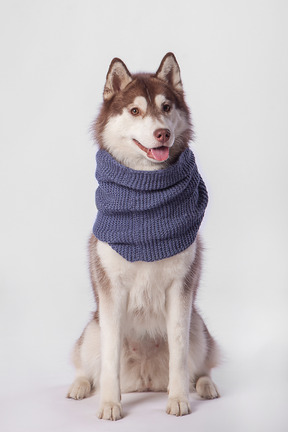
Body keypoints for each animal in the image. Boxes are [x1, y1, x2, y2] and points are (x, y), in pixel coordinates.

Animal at [67, 52, 220, 420]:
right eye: (135, 111)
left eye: (166, 107)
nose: (162, 133)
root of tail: (147, 381)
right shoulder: (111, 291)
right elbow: (109, 360)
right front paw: (110, 404)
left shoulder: (181, 289)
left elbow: (180, 354)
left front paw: (178, 399)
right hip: (92, 328)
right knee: (86, 362)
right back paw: (80, 386)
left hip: (198, 326)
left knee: (201, 363)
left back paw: (204, 385)